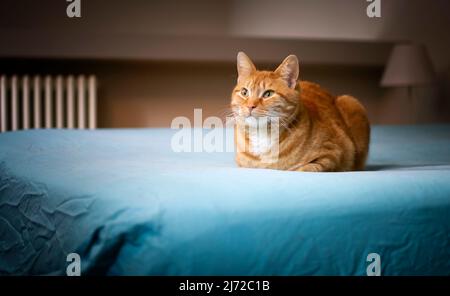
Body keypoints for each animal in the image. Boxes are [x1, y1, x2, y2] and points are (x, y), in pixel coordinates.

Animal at [232, 51, 370, 171]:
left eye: (268, 94)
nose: (250, 106)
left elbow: (307, 167)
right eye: (244, 92)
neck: (262, 135)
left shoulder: (333, 153)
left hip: (351, 101)